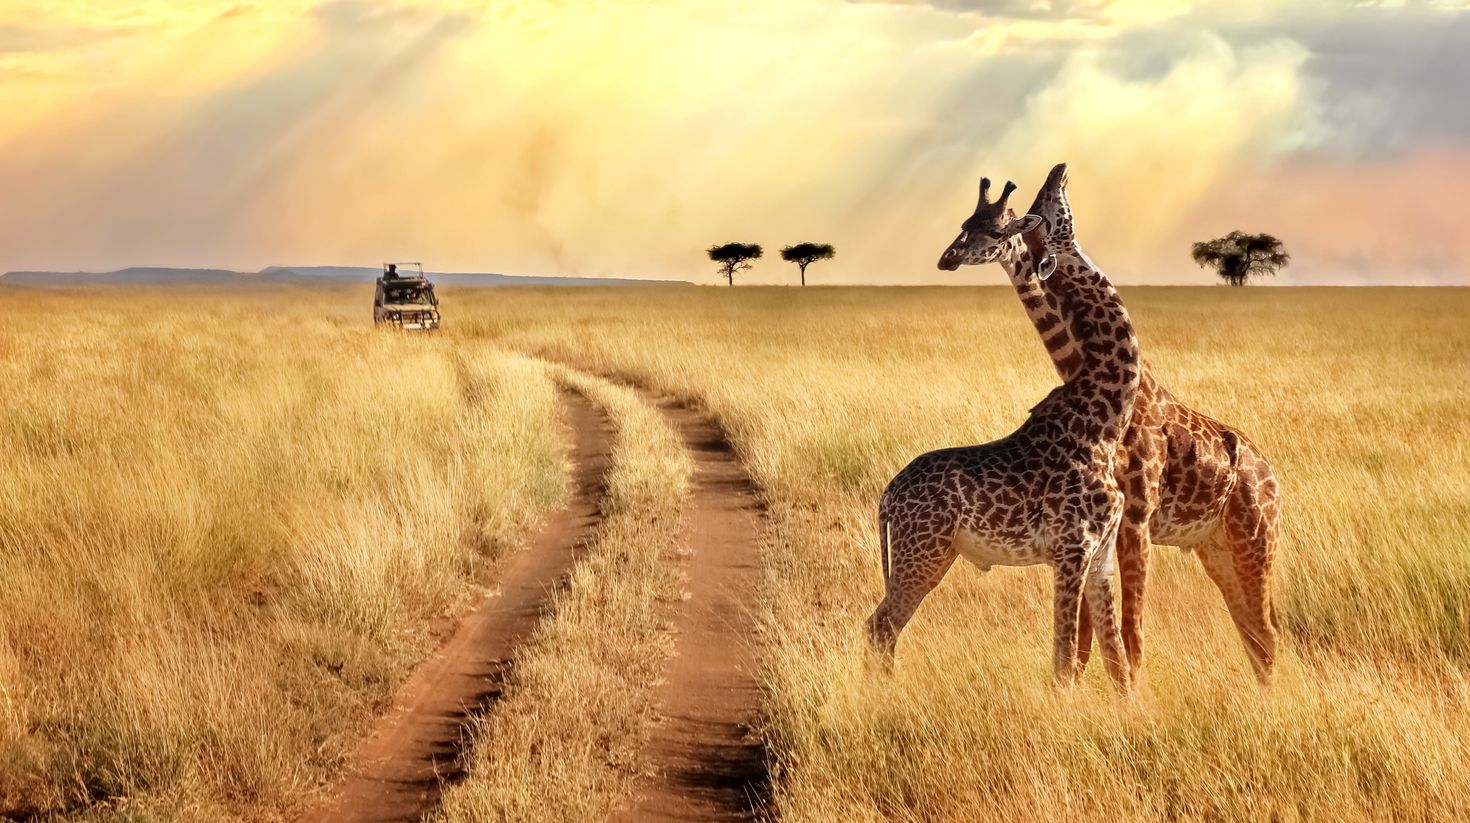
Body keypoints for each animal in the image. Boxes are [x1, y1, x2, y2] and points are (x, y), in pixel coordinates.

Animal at [865, 177, 1140, 693]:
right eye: (1051, 211)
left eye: (993, 227)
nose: (948, 257)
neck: (1105, 422)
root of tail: (887, 497)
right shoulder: (1071, 550)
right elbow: (1064, 660)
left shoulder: (1101, 557)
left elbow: (1117, 662)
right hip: (922, 553)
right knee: (880, 626)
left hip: (931, 555)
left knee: (881, 626)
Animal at [1019, 163, 1282, 684]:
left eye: (1044, 205)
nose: (1058, 170)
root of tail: (1273, 477)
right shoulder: (1110, 524)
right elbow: (1095, 631)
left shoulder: (1134, 519)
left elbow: (1127, 630)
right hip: (1216, 548)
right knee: (1254, 632)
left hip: (1255, 541)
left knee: (1266, 632)